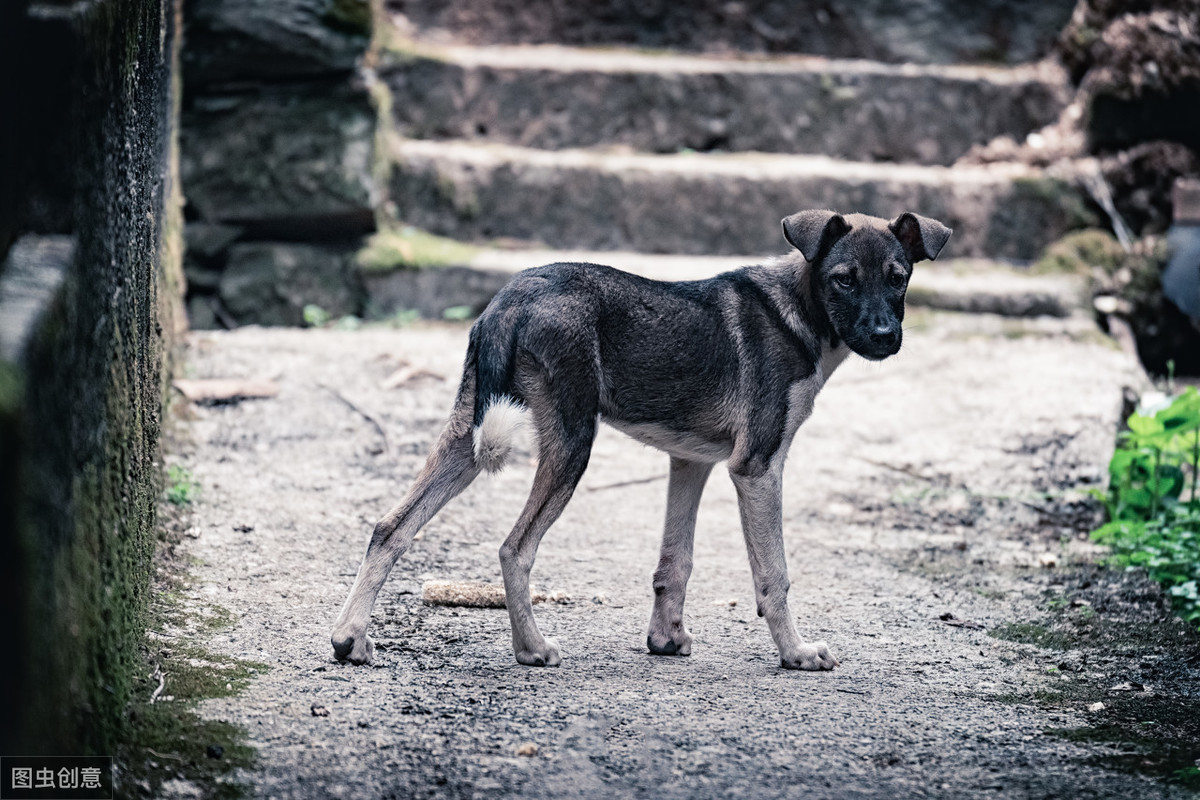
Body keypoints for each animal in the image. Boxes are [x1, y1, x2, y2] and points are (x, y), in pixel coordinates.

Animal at [328, 211, 945, 671]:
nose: (885, 337)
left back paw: (349, 638)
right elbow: (775, 575)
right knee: (514, 547)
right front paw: (795, 653)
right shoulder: (757, 466)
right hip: (571, 441)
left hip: (466, 437)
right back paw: (531, 648)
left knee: (390, 528)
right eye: (844, 278)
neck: (801, 309)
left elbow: (676, 561)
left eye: (898, 277)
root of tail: (510, 299)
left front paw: (666, 641)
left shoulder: (690, 461)